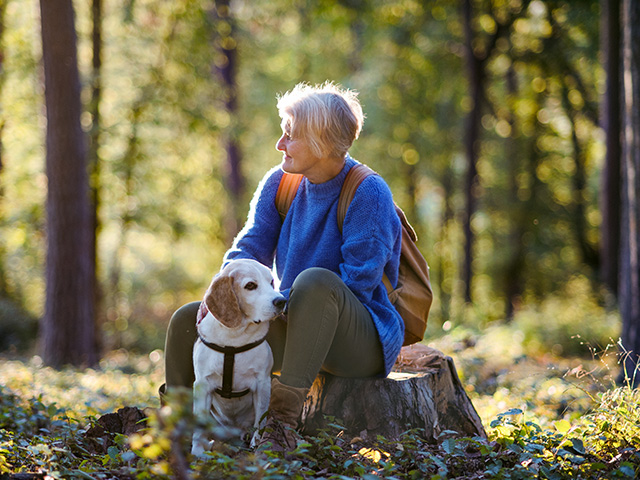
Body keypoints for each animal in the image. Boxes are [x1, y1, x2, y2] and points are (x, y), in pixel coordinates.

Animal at [190, 256, 284, 456]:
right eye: (250, 285)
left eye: (271, 282)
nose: (281, 301)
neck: (233, 339)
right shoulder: (202, 384)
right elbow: (199, 424)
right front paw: (197, 452)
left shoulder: (262, 384)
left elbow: (260, 420)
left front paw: (257, 445)